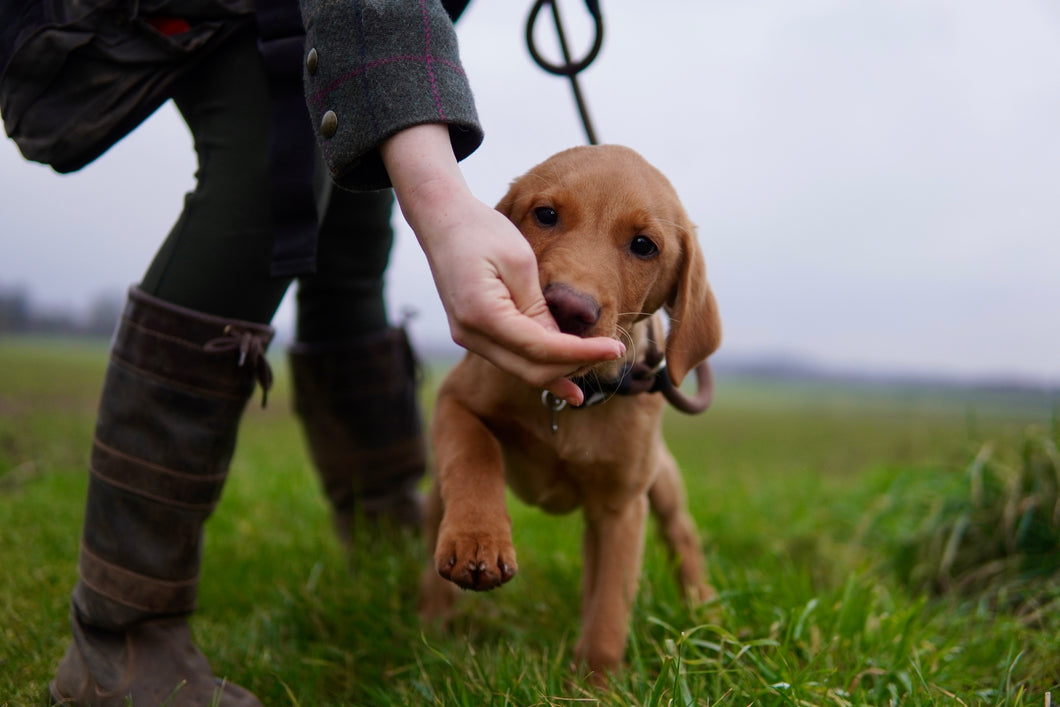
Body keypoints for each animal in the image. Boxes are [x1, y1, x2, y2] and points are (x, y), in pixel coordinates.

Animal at [417, 145, 725, 678]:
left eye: (644, 246)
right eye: (545, 216)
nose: (569, 308)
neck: (567, 399)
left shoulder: (622, 508)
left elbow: (610, 608)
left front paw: (595, 682)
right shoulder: (454, 400)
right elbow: (475, 454)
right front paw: (480, 541)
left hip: (659, 481)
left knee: (681, 536)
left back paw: (706, 611)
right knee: (441, 516)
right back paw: (432, 622)